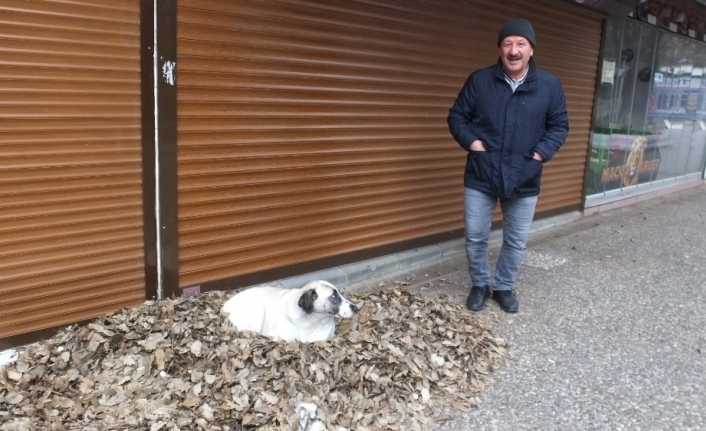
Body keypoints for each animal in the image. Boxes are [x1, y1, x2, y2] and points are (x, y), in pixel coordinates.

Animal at [220, 280, 358, 344]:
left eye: (339, 293)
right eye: (333, 296)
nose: (356, 308)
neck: (312, 323)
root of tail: (223, 307)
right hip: (257, 310)